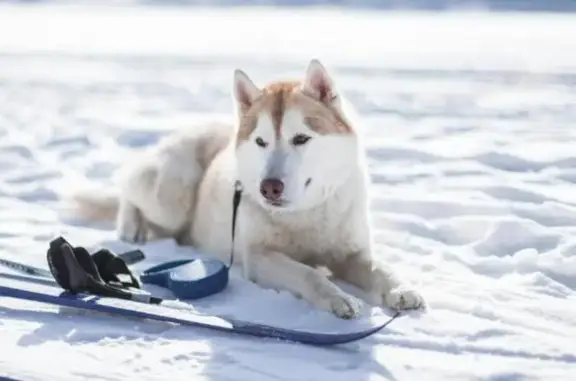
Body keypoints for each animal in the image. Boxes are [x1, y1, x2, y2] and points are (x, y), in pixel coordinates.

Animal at [70, 58, 426, 316]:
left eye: (301, 138)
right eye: (261, 141)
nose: (269, 187)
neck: (306, 213)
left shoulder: (352, 253)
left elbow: (380, 269)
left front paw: (402, 290)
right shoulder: (259, 257)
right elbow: (307, 273)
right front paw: (336, 298)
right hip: (171, 195)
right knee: (129, 188)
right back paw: (131, 227)